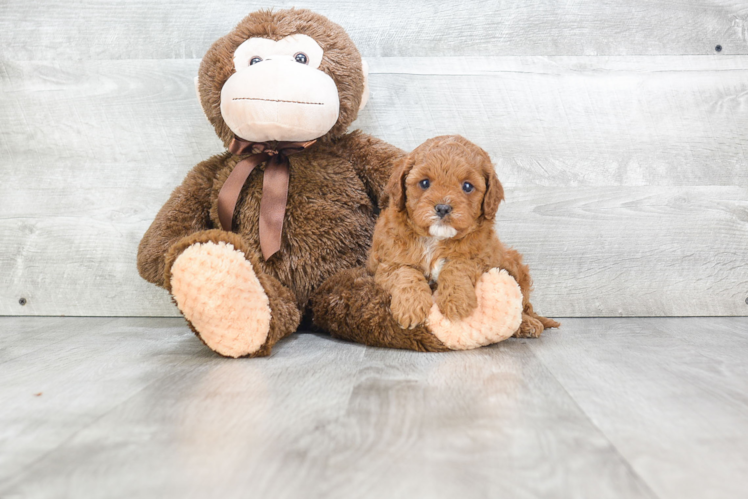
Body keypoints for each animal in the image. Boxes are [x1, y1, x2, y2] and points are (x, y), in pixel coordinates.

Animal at [366, 137, 560, 338]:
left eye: (467, 186)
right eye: (425, 183)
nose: (443, 208)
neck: (436, 238)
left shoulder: (481, 256)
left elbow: (457, 266)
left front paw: (456, 302)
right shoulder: (386, 263)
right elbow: (406, 272)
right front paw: (411, 307)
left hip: (514, 265)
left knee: (524, 306)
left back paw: (528, 324)